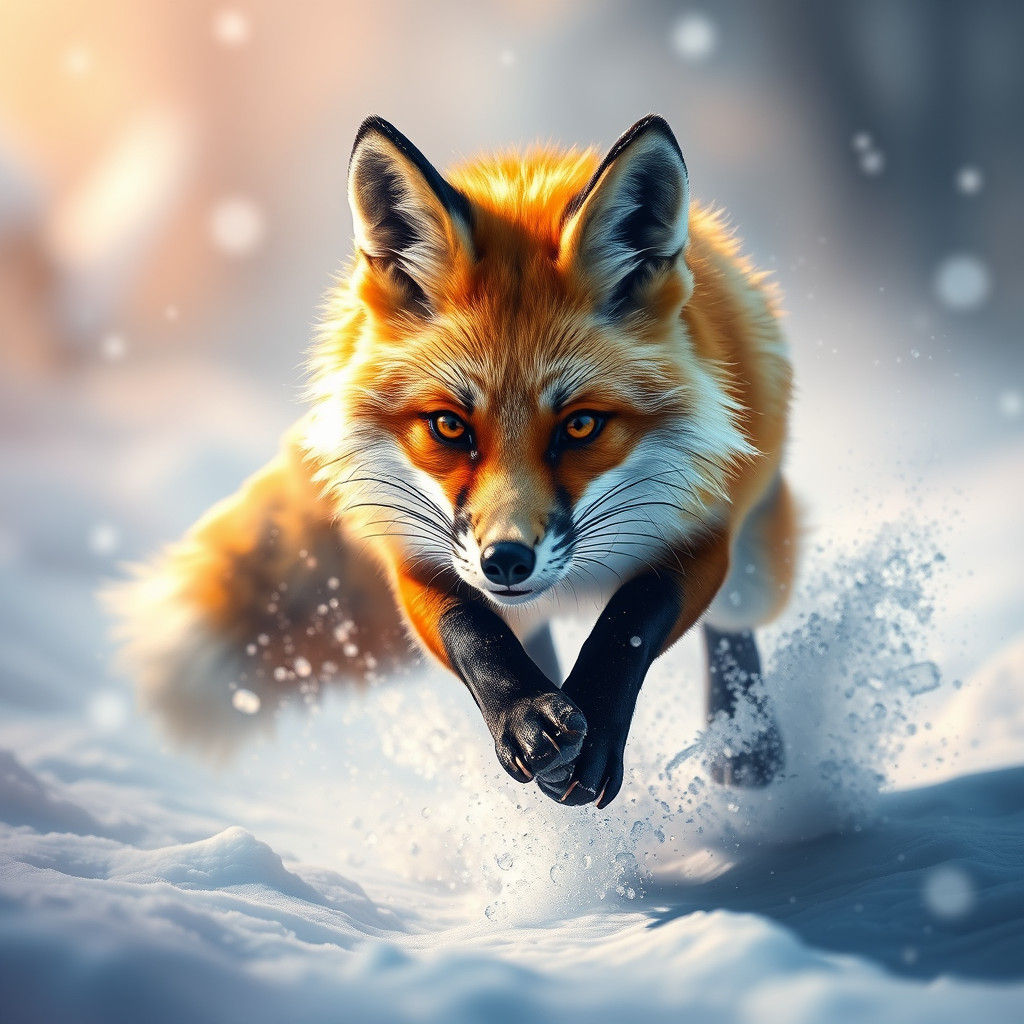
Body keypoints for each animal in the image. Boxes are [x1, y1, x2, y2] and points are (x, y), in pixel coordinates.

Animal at [111, 114, 797, 808]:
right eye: (449, 425)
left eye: (579, 426)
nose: (507, 560)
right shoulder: (412, 551)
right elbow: (472, 630)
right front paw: (527, 718)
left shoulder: (705, 529)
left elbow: (631, 619)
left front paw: (596, 730)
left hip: (752, 557)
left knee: (733, 623)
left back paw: (745, 744)